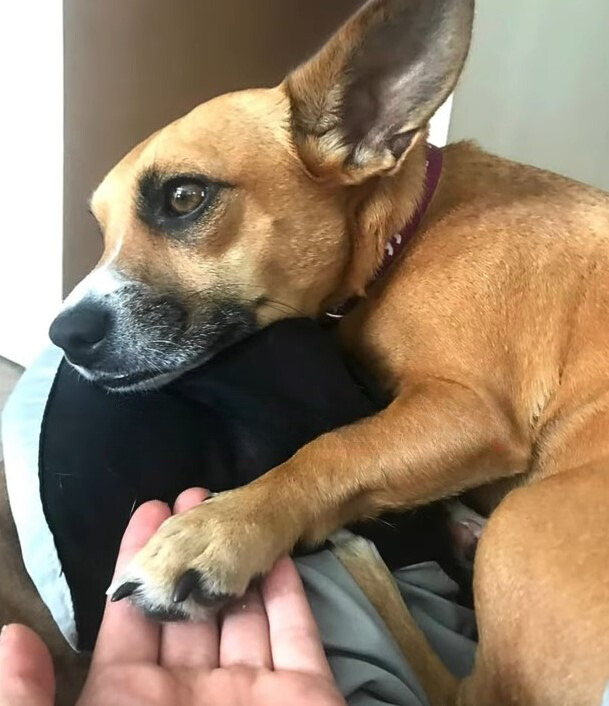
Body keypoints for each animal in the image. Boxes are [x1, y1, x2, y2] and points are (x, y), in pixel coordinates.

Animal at [44, 0, 608, 700]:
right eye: (101, 228)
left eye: (183, 197)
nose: (62, 335)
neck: (407, 233)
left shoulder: (473, 412)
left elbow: (332, 449)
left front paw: (219, 532)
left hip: (521, 525)